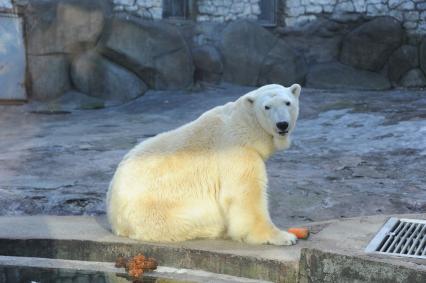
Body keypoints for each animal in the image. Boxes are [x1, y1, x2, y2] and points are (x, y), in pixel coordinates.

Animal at [105, 84, 300, 246]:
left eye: (288, 103)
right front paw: (284, 237)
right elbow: (246, 196)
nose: (282, 125)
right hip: (158, 211)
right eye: (267, 107)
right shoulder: (237, 153)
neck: (244, 125)